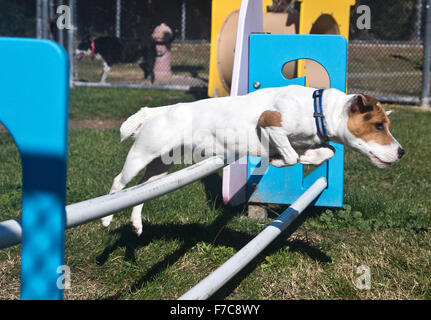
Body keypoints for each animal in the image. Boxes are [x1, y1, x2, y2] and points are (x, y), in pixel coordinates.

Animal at [102, 85, 404, 235]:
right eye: (378, 125)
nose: (401, 152)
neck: (317, 109)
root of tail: (156, 111)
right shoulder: (269, 121)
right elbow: (290, 155)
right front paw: (281, 160)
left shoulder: (313, 138)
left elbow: (326, 151)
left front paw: (309, 155)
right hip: (141, 156)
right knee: (119, 183)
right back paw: (105, 219)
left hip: (160, 167)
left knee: (141, 192)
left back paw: (137, 225)